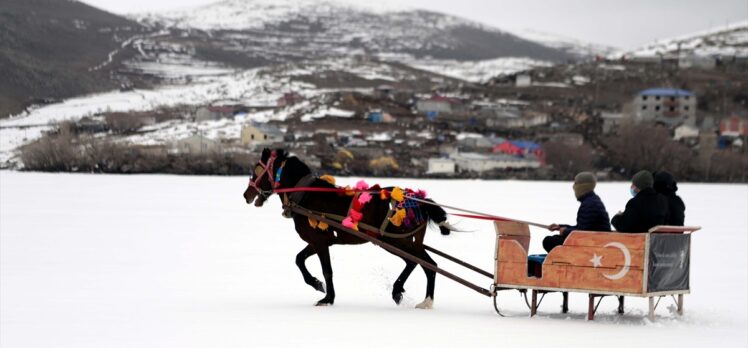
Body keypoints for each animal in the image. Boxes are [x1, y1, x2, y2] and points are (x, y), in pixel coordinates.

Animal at [244, 148, 450, 308]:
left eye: (256, 171)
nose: (246, 194)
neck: (305, 196)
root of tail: (417, 200)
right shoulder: (317, 241)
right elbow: (299, 259)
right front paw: (316, 284)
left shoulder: (320, 242)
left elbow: (327, 270)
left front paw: (327, 298)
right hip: (407, 241)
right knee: (428, 265)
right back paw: (423, 300)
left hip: (394, 241)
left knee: (417, 263)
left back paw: (401, 292)